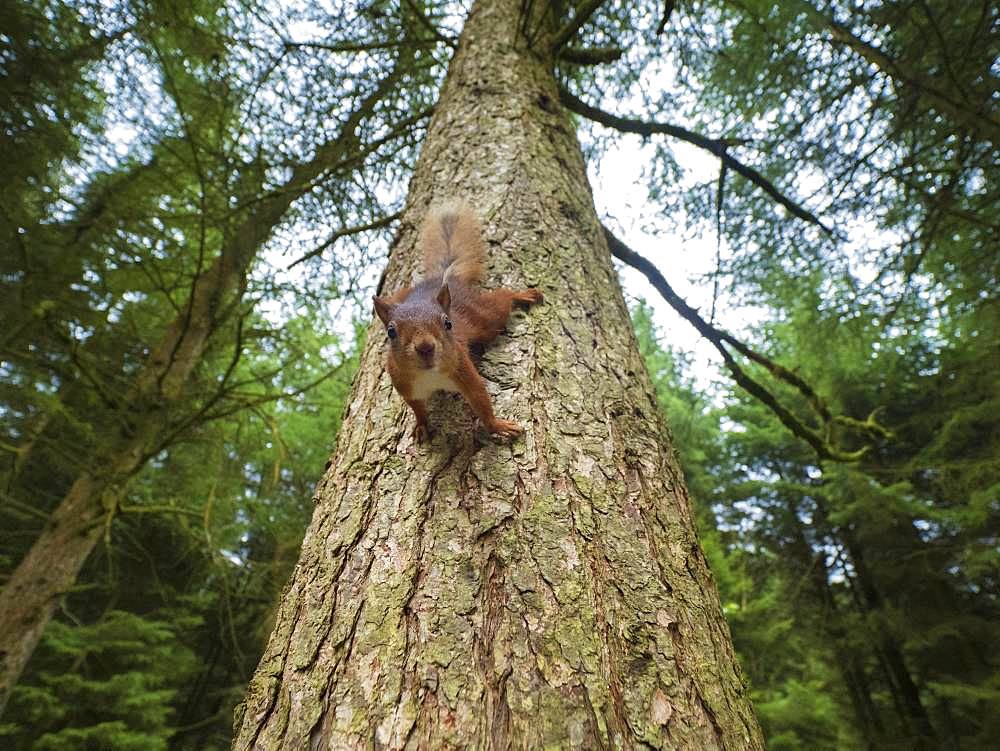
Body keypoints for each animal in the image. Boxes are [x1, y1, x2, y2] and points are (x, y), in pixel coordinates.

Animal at [376, 203, 544, 444]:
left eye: (448, 323)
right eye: (390, 332)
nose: (425, 347)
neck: (430, 376)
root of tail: (443, 279)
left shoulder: (462, 368)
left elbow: (480, 400)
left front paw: (498, 426)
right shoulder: (406, 386)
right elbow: (417, 409)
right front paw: (422, 425)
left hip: (483, 318)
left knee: (502, 300)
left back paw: (522, 294)